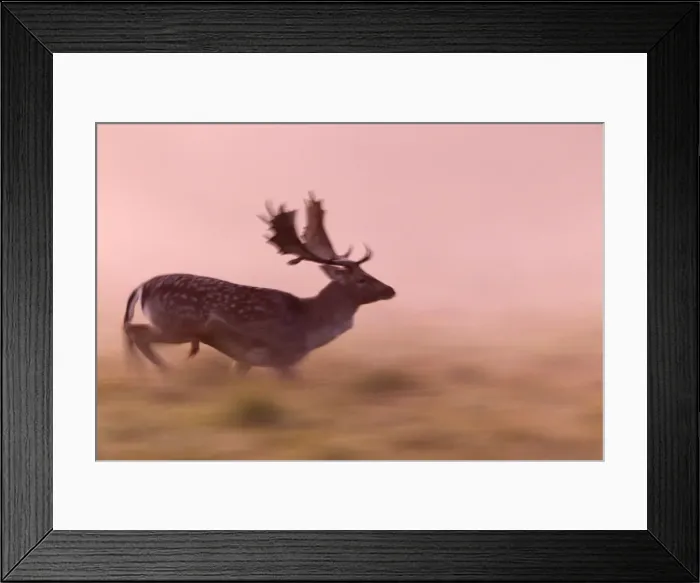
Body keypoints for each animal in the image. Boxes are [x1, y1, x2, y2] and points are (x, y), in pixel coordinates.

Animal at [122, 192, 396, 380]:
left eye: (367, 273)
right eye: (361, 279)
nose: (390, 290)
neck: (310, 326)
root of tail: (142, 286)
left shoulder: (246, 360)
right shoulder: (280, 356)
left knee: (133, 330)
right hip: (176, 325)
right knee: (135, 331)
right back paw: (159, 370)